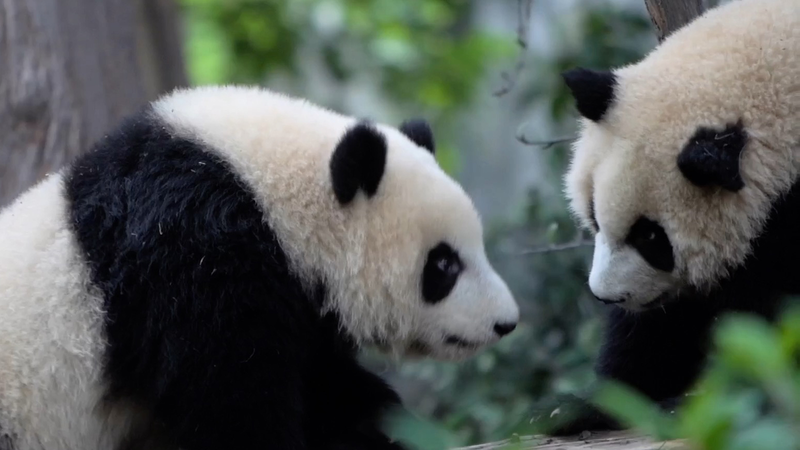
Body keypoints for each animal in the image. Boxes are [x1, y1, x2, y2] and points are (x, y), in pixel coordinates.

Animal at [0, 85, 520, 450]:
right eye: (444, 264)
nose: (506, 322)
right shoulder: (190, 255)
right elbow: (231, 398)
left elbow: (319, 377)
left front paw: (378, 422)